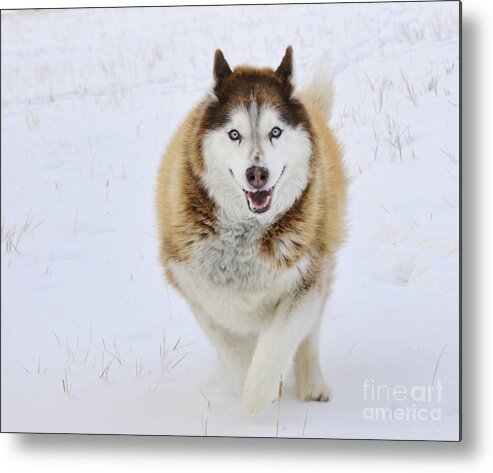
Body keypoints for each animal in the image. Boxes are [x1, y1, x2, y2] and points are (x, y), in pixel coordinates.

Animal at [156, 47, 344, 412]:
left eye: (275, 131)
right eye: (234, 134)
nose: (257, 173)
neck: (245, 233)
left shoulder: (306, 281)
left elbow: (279, 342)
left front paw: (259, 393)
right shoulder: (196, 290)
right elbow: (232, 347)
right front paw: (251, 383)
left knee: (309, 337)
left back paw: (312, 384)